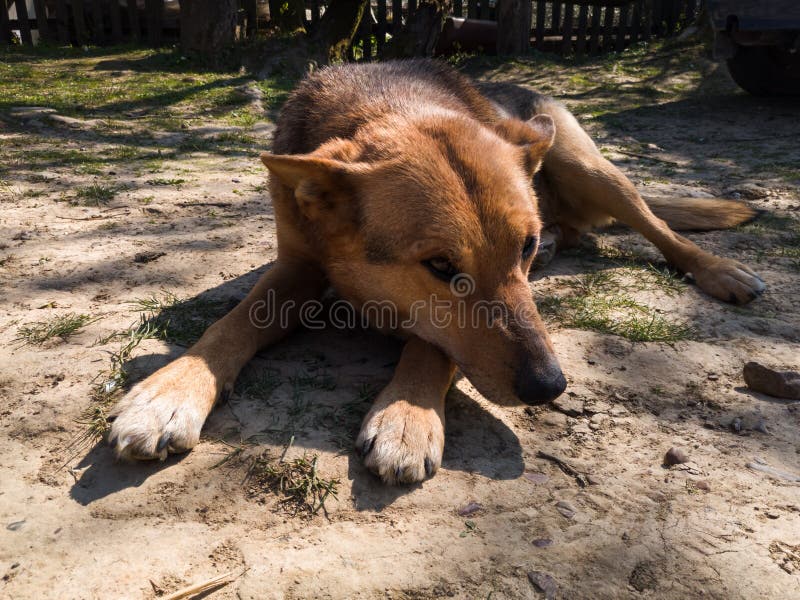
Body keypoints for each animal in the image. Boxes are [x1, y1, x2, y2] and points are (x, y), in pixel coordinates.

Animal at [106, 58, 764, 486]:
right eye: (442, 266)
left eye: (521, 249)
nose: (549, 387)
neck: (391, 101)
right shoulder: (295, 267)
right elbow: (232, 323)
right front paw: (171, 391)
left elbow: (434, 343)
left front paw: (408, 414)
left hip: (588, 167)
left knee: (656, 226)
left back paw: (720, 271)